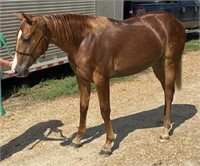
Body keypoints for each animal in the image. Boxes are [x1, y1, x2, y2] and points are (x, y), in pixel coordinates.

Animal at [11, 11, 185, 156]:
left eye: (26, 38)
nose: (17, 70)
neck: (83, 40)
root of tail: (174, 21)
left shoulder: (101, 80)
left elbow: (105, 110)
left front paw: (108, 144)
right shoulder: (82, 79)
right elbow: (83, 108)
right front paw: (78, 139)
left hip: (169, 63)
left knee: (169, 92)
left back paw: (165, 131)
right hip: (157, 65)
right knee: (166, 91)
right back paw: (164, 121)